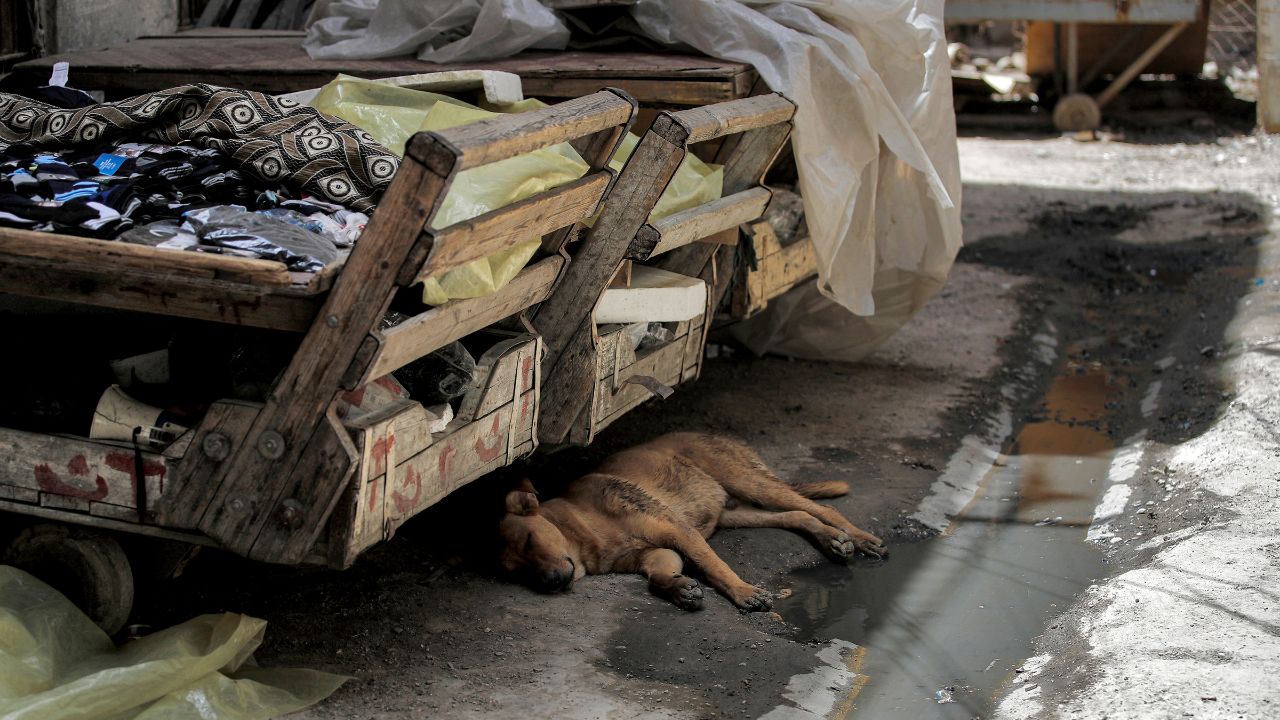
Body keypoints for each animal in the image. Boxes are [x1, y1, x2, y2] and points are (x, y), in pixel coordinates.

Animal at [494, 427, 885, 607]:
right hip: (736, 513)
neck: (583, 527)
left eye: (529, 540)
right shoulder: (659, 552)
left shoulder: (679, 532)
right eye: (516, 573)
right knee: (797, 515)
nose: (549, 582)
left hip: (746, 480)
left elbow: (715, 566)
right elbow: (658, 576)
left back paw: (861, 538)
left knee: (823, 508)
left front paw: (743, 592)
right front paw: (678, 587)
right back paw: (831, 540)